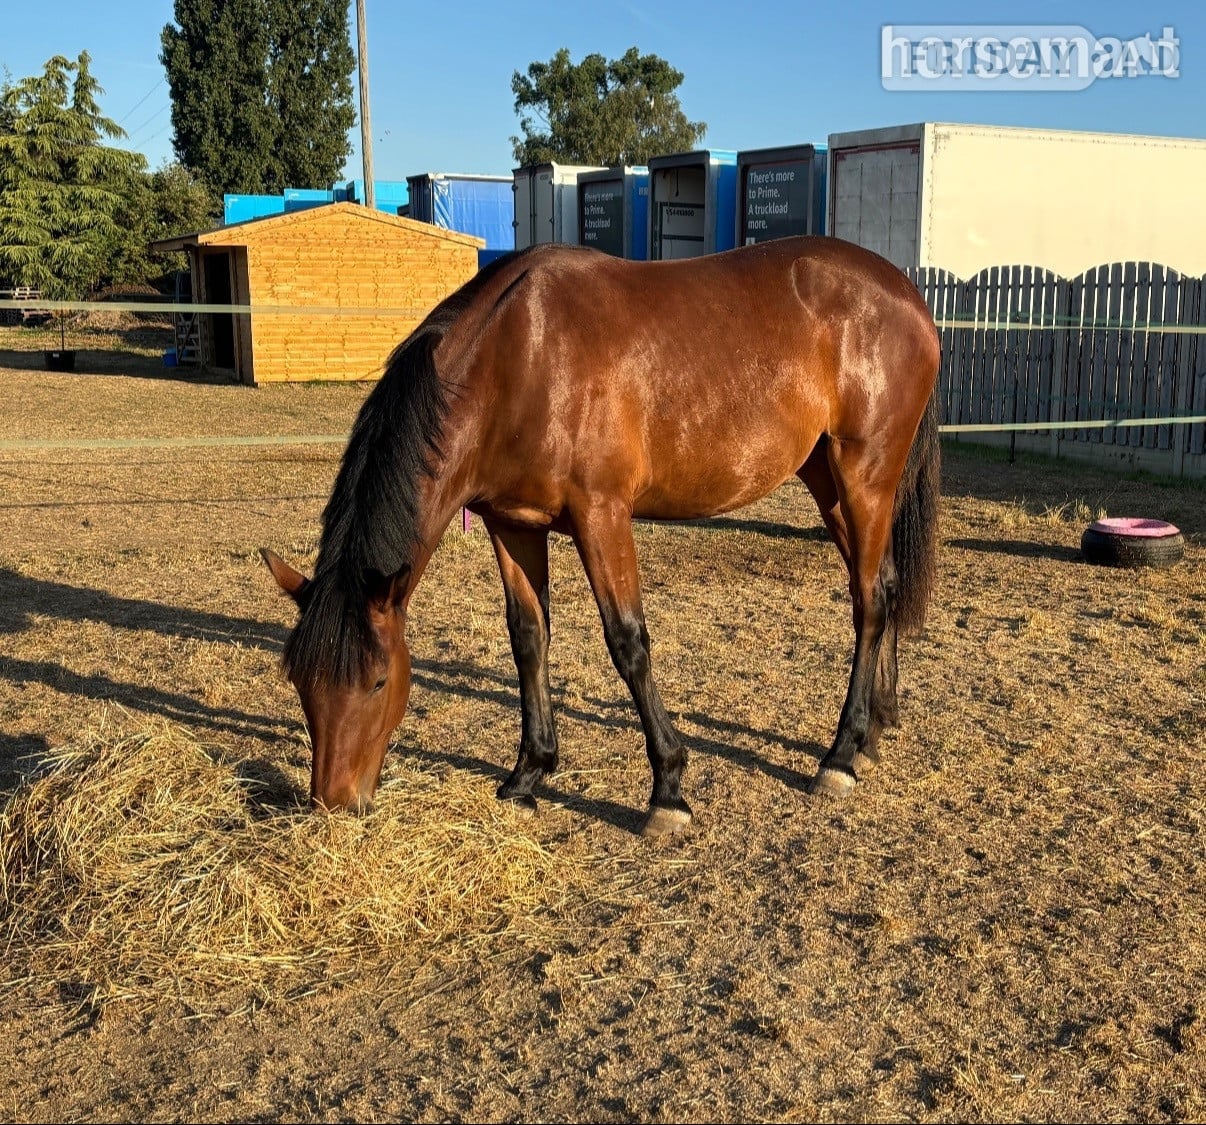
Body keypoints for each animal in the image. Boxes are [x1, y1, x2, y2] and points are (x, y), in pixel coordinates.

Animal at [261, 236, 941, 836]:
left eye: (378, 680)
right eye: (298, 681)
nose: (333, 804)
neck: (516, 359)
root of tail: (906, 293)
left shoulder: (602, 515)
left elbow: (627, 643)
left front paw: (668, 790)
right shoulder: (511, 523)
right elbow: (528, 637)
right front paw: (528, 774)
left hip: (865, 476)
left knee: (868, 600)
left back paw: (839, 755)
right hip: (828, 478)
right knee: (882, 585)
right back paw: (873, 729)